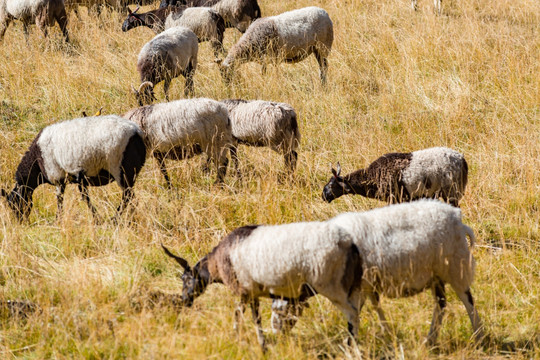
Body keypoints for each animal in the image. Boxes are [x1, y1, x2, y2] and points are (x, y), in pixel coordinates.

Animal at [0, 115, 147, 222]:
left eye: (15, 204)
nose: (21, 222)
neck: (36, 160)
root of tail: (136, 133)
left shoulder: (58, 176)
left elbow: (60, 200)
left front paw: (58, 220)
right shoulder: (79, 179)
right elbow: (85, 198)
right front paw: (95, 217)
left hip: (120, 169)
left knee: (127, 196)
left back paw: (115, 219)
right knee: (130, 197)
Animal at [160, 219, 362, 348]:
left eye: (185, 279)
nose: (185, 300)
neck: (217, 262)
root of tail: (348, 243)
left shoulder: (245, 291)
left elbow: (245, 316)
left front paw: (250, 342)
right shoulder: (257, 293)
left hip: (332, 286)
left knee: (352, 314)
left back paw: (351, 348)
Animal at [270, 201, 486, 344]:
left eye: (282, 310)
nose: (276, 334)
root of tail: (458, 218)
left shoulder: (357, 287)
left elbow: (355, 314)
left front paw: (352, 343)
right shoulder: (368, 284)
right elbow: (375, 306)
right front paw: (387, 333)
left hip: (455, 267)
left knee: (468, 301)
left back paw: (479, 336)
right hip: (436, 275)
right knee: (441, 305)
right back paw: (430, 341)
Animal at [320, 146, 468, 207]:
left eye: (332, 185)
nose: (323, 196)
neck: (371, 177)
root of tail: (462, 160)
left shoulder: (395, 197)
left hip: (451, 191)